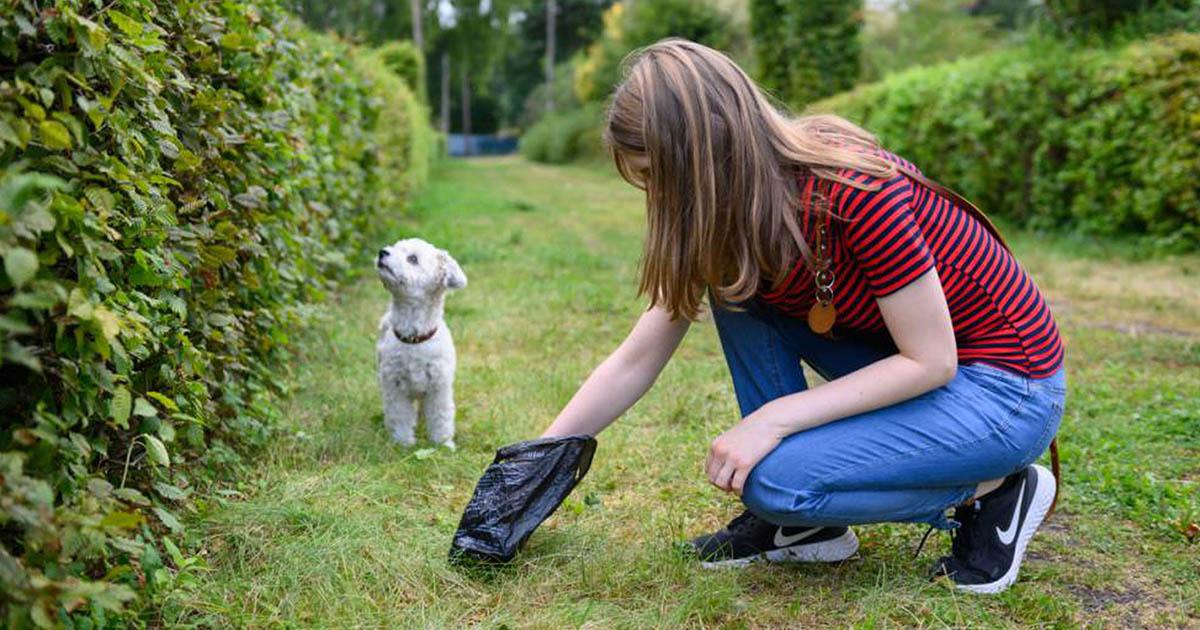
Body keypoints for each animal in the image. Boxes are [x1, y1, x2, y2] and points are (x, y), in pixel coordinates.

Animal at [376, 237, 465, 446]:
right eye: (394, 247)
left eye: (413, 259)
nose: (382, 252)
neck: (414, 338)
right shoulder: (395, 386)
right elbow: (399, 416)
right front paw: (402, 443)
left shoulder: (439, 387)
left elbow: (441, 416)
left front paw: (443, 444)